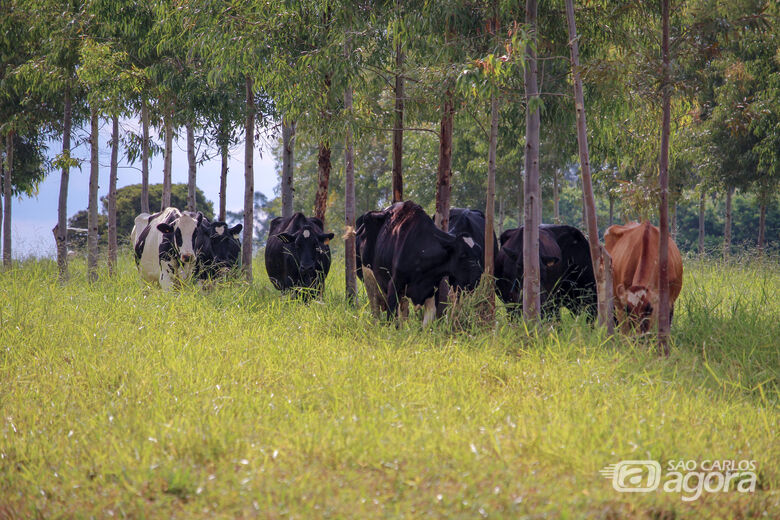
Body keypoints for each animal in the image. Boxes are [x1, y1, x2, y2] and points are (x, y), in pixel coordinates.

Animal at [356, 201, 484, 322]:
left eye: (479, 253)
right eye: (463, 255)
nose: (479, 276)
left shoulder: (431, 291)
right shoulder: (394, 285)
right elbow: (391, 320)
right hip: (370, 281)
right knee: (375, 312)